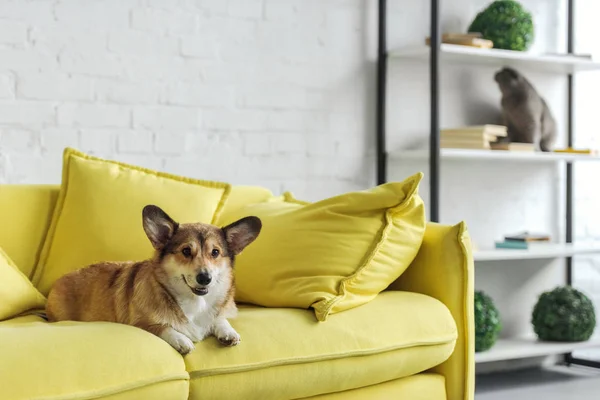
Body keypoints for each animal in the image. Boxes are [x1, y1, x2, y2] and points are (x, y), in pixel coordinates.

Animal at [45, 205, 262, 354]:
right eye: (186, 251)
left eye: (215, 252)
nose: (205, 278)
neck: (194, 302)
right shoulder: (141, 323)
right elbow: (164, 327)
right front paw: (182, 340)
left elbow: (220, 319)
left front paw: (228, 332)